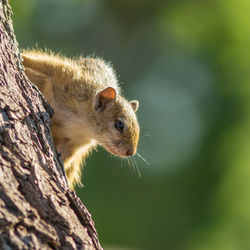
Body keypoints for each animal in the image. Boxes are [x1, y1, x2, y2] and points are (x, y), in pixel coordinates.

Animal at [21, 49, 139, 188]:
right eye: (119, 125)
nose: (130, 152)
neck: (83, 123)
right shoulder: (70, 80)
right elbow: (44, 64)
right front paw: (22, 57)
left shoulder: (76, 142)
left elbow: (66, 156)